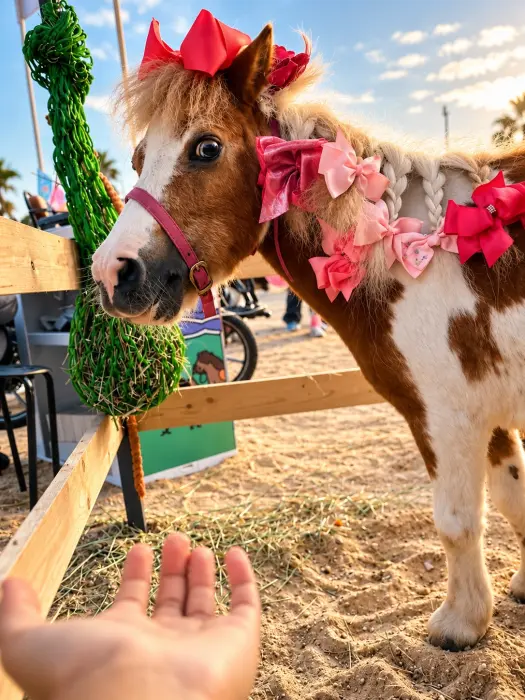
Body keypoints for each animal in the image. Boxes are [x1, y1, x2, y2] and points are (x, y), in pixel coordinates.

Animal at [91, 18, 525, 651]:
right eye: (139, 156)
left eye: (206, 147)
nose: (111, 272)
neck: (417, 257)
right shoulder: (487, 414)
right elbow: (515, 498)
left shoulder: (447, 415)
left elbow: (456, 521)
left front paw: (461, 623)